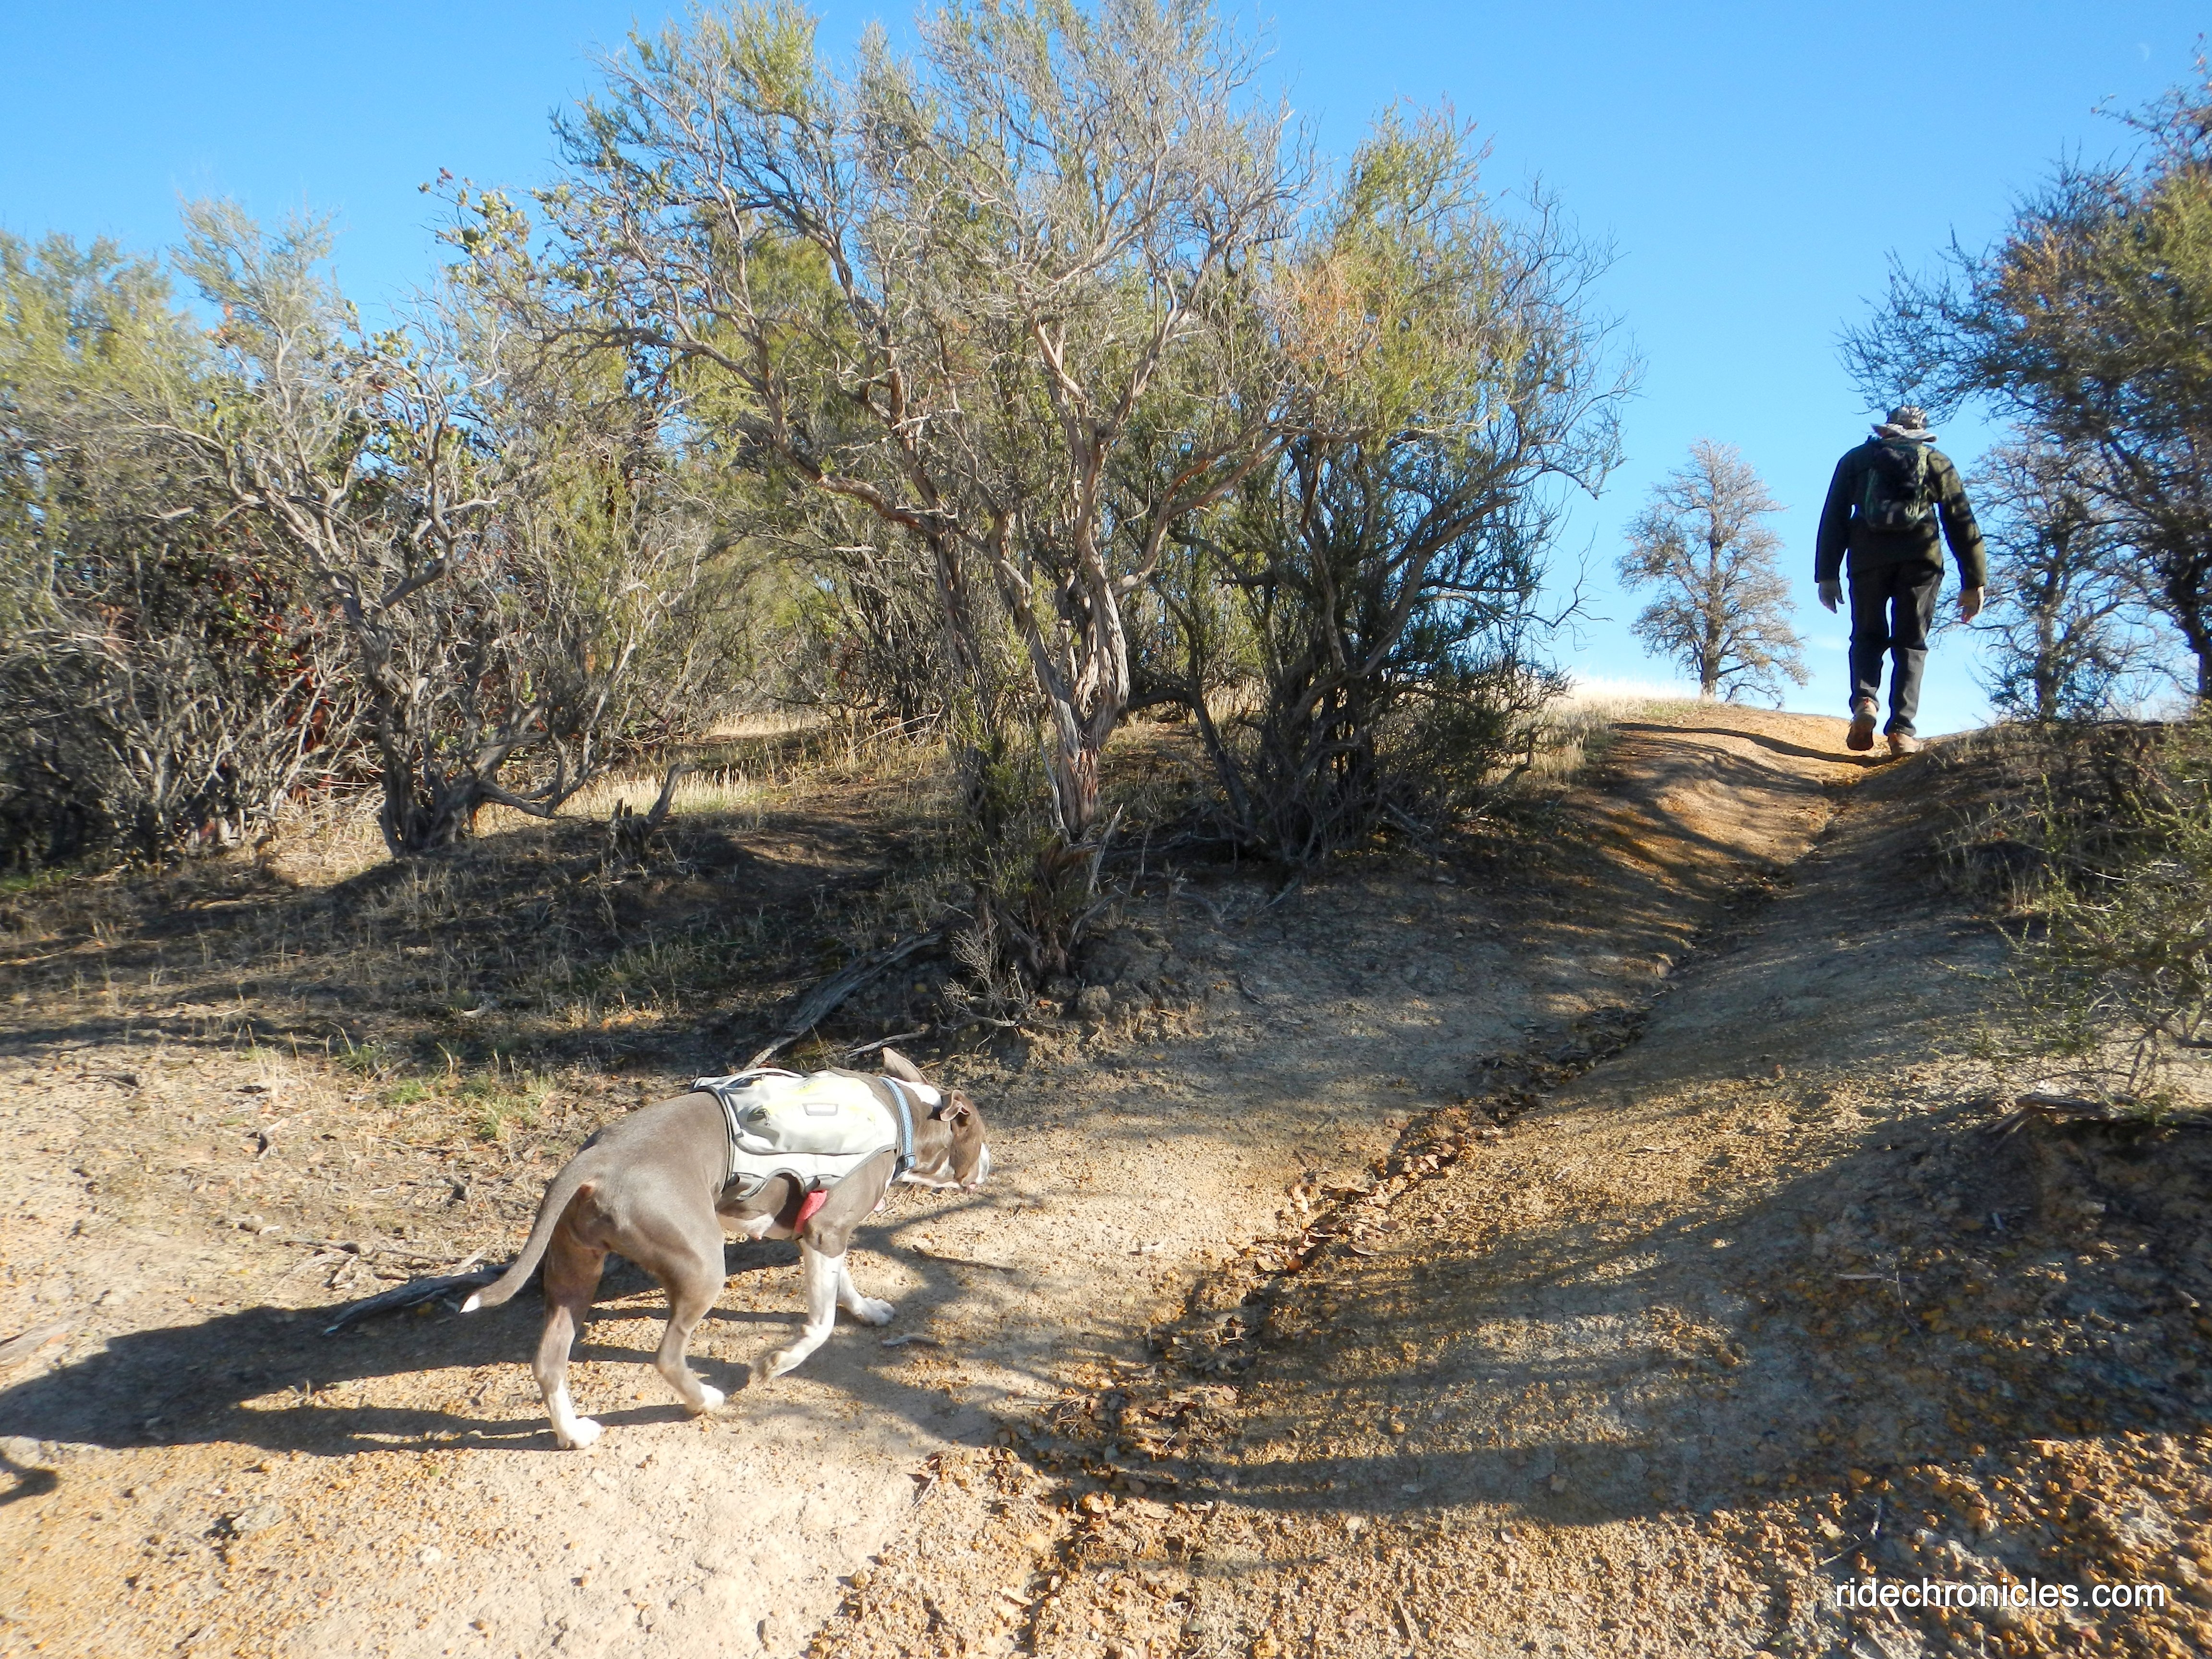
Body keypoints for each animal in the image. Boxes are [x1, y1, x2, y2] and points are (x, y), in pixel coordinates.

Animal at [460, 1050, 989, 1449]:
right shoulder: (825, 1229)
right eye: (981, 1135)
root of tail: (598, 1157)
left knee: (550, 1360)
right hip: (702, 1266)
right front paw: (777, 1364)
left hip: (576, 1268)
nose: (990, 1163)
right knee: (667, 1356)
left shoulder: (823, 1234)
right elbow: (820, 1326)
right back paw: (704, 1401)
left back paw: (573, 1433)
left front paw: (868, 1310)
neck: (903, 1114)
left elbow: (844, 1285)